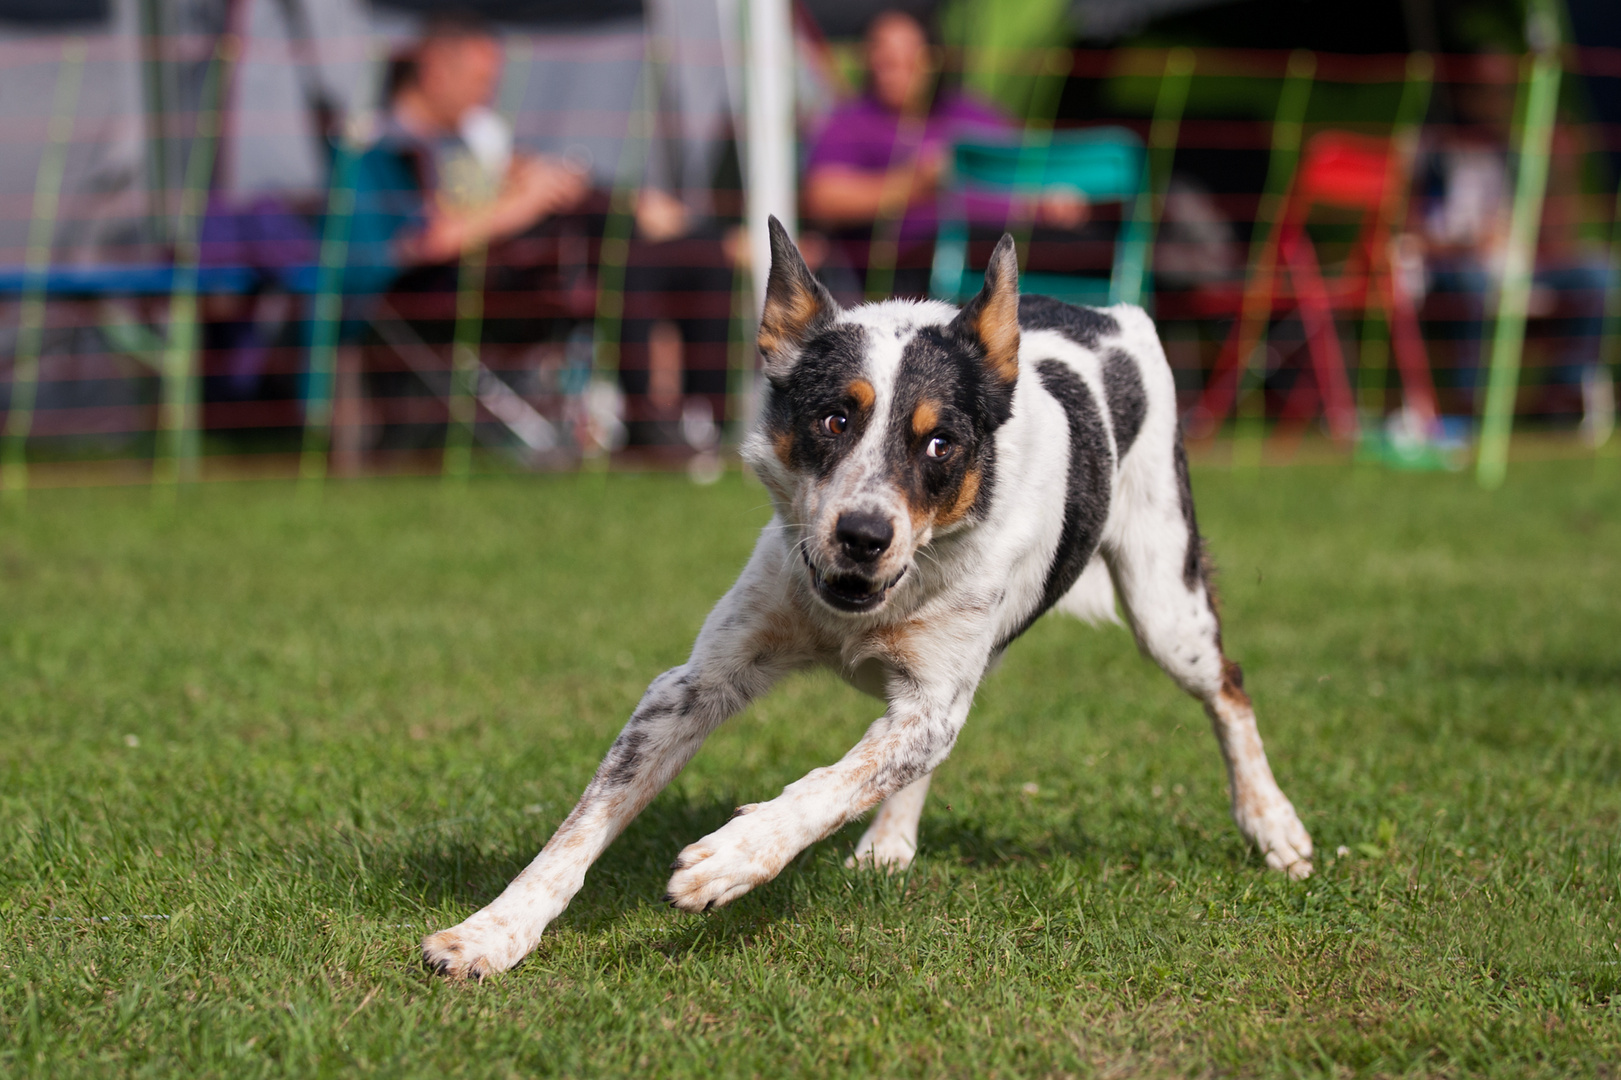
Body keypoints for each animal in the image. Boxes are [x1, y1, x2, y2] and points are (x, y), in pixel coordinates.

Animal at [421, 218, 1316, 972]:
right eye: (831, 420)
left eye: (939, 442)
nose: (861, 535)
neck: (870, 604)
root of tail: (1110, 315)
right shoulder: (697, 682)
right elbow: (584, 823)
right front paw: (491, 932)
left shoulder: (930, 694)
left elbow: (833, 782)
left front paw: (731, 859)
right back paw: (890, 842)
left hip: (1165, 596)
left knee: (1226, 686)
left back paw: (1273, 824)